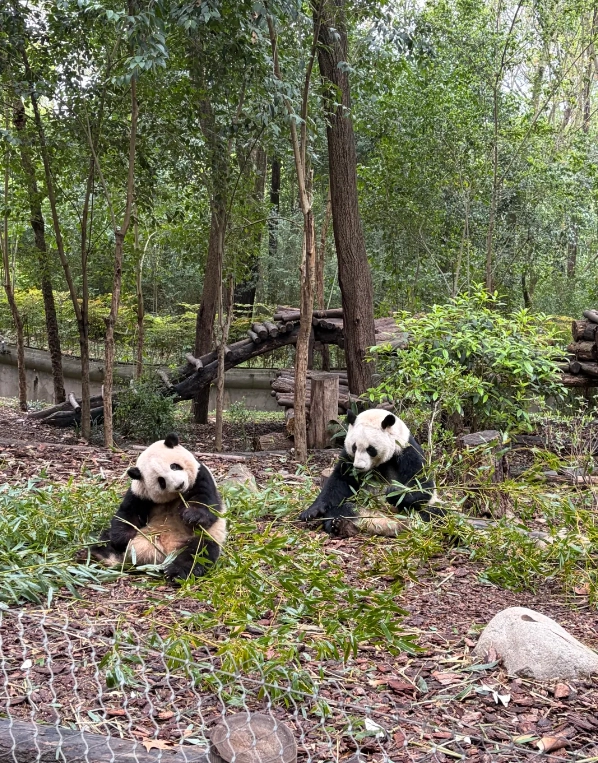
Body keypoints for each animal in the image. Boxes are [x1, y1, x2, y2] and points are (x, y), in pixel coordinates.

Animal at [89, 433, 226, 581]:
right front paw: (122, 539)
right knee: (105, 538)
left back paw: (176, 572)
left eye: (174, 466)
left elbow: (206, 503)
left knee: (198, 553)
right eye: (161, 481)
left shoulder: (200, 476)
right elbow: (128, 513)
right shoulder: (141, 493)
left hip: (201, 537)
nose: (180, 485)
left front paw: (192, 516)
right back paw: (99, 553)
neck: (176, 497)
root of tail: (162, 554)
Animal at [299, 409, 442, 537]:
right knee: (340, 510)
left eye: (370, 449)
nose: (359, 467)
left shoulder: (406, 450)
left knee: (434, 512)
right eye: (354, 447)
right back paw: (341, 527)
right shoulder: (349, 458)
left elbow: (422, 485)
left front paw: (393, 493)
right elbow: (340, 482)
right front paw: (311, 512)